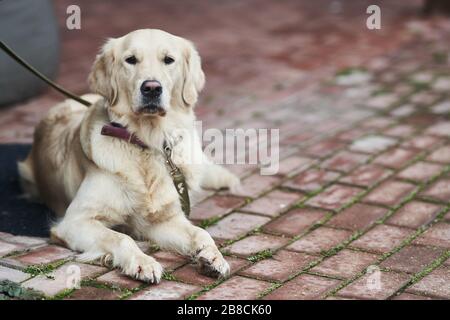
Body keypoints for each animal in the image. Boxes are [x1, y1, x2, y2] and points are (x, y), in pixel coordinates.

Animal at [18, 29, 239, 282]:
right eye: (131, 59)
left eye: (168, 60)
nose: (151, 88)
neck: (146, 141)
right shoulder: (73, 221)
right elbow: (121, 237)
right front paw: (143, 262)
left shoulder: (160, 221)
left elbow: (200, 232)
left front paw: (213, 257)